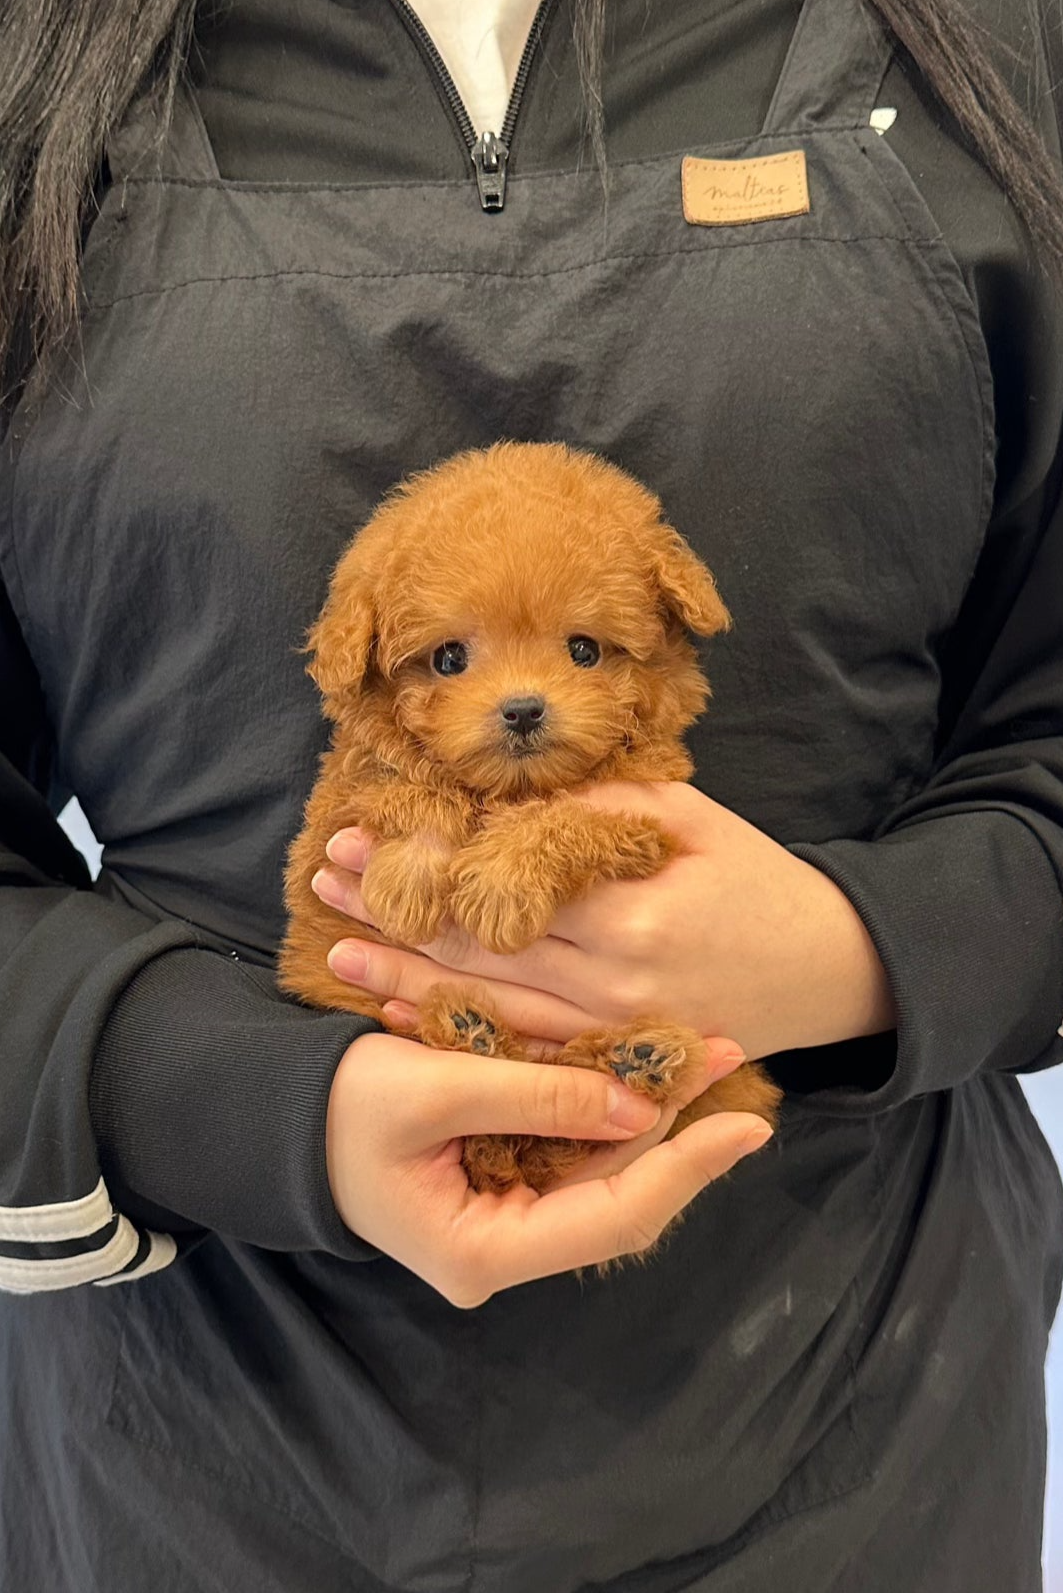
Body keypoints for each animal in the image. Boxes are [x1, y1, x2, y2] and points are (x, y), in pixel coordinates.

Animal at [280, 439, 780, 1197]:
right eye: (449, 657)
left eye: (584, 649)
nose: (521, 710)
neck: (510, 790)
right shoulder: (341, 797)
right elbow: (407, 782)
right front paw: (410, 876)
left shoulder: (647, 810)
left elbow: (564, 816)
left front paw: (500, 881)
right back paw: (472, 1032)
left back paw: (638, 1056)